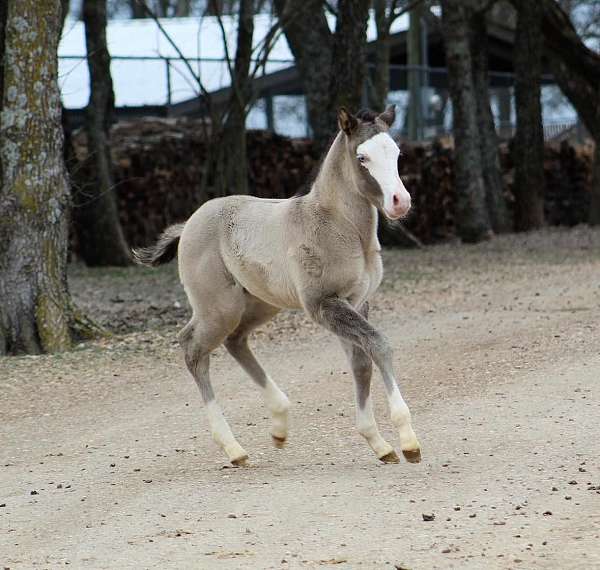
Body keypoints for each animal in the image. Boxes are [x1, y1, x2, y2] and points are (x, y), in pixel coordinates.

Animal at [135, 106, 422, 466]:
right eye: (362, 157)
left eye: (396, 153)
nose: (400, 202)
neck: (340, 226)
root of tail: (188, 224)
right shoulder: (323, 304)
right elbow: (378, 344)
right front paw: (408, 441)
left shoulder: (357, 302)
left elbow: (360, 363)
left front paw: (379, 444)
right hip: (220, 308)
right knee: (193, 348)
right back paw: (234, 448)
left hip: (261, 304)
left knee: (235, 341)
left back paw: (280, 423)